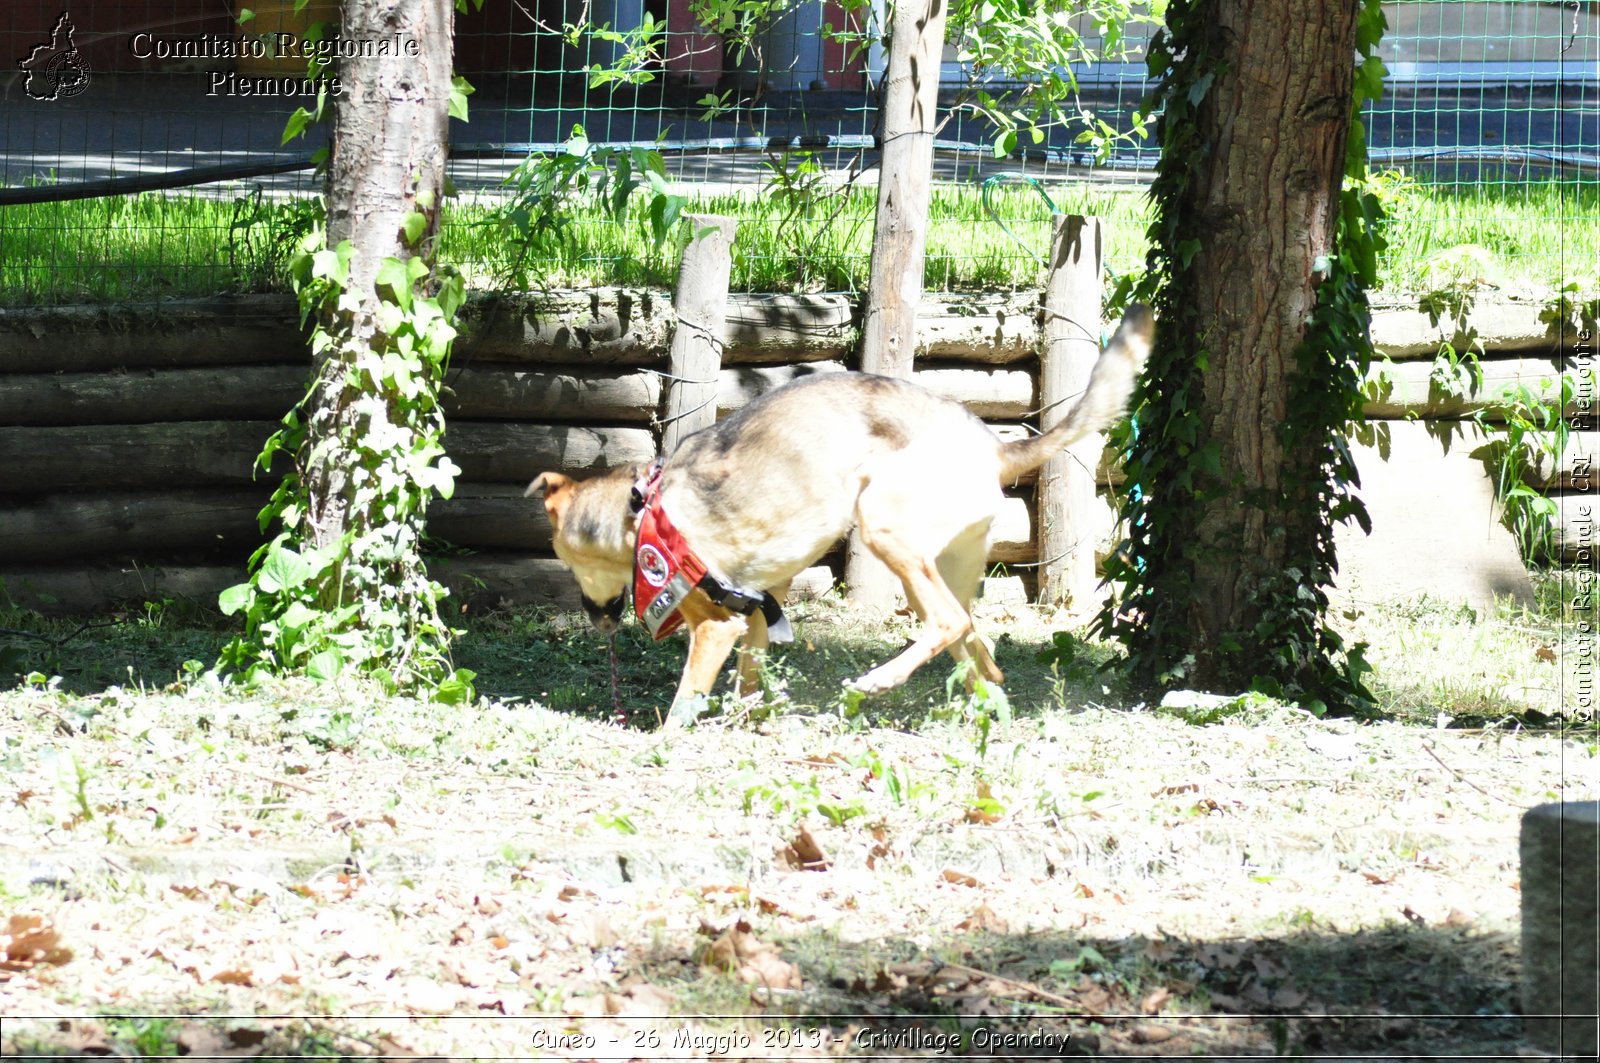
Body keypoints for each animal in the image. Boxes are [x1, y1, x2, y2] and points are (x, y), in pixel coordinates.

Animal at [531, 302, 1158, 726]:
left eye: (567, 562)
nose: (594, 618)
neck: (643, 510)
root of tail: (991, 444)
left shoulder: (715, 624)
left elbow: (686, 703)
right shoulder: (760, 609)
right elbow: (749, 684)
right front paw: (748, 723)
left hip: (885, 528)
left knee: (946, 624)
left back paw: (876, 684)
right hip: (941, 569)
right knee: (975, 642)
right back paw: (981, 714)